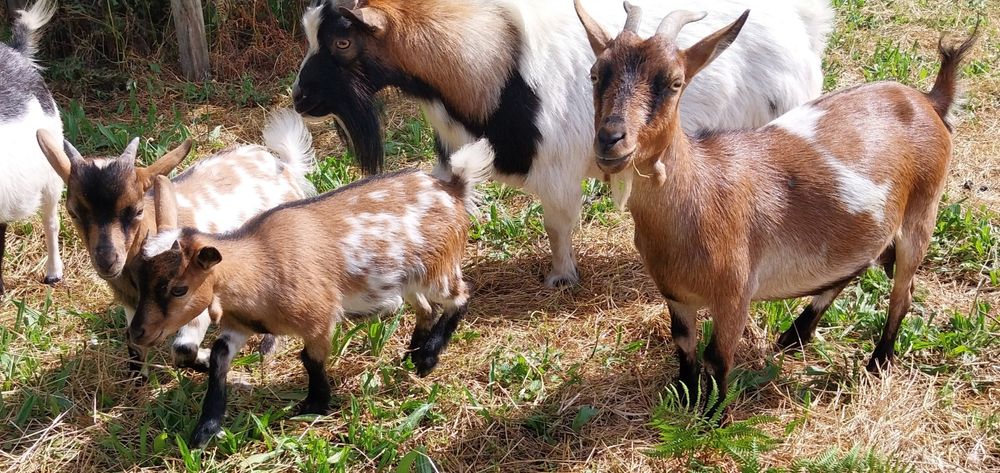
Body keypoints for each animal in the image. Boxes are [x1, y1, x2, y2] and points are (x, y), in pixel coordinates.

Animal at [35, 109, 315, 375]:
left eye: (137, 210)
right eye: (73, 212)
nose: (107, 260)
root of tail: (284, 166)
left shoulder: (195, 296)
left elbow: (182, 349)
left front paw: (206, 360)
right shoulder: (133, 305)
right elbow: (135, 346)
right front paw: (139, 377)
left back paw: (267, 347)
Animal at [127, 139, 493, 448]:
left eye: (179, 288)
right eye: (139, 281)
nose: (137, 332)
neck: (262, 264)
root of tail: (452, 187)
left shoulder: (319, 319)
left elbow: (309, 358)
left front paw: (315, 403)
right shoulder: (239, 325)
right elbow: (218, 356)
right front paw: (205, 430)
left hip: (439, 270)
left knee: (461, 295)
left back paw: (428, 358)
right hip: (408, 280)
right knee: (427, 309)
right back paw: (411, 357)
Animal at [291, 0, 833, 287]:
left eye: (342, 41)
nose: (299, 98)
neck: (497, 66)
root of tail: (803, 24)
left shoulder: (557, 173)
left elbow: (557, 227)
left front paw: (561, 277)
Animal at [577, 2, 976, 410]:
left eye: (674, 82)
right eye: (595, 74)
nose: (611, 139)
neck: (701, 191)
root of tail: (929, 100)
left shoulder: (734, 294)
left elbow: (716, 358)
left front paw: (714, 416)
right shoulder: (675, 294)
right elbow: (684, 345)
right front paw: (686, 398)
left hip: (921, 214)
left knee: (902, 293)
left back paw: (878, 362)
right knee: (858, 264)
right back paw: (796, 335)